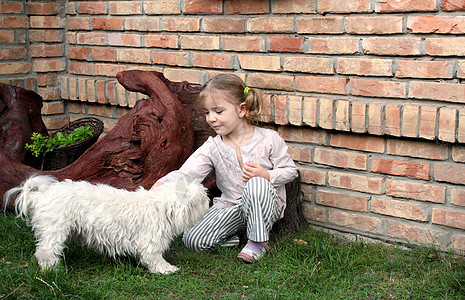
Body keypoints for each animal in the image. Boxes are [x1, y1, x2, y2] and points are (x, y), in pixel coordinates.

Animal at [3, 175, 208, 276]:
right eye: (201, 200)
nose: (208, 200)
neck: (159, 207)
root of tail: (40, 197)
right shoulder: (150, 242)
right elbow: (154, 258)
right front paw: (166, 269)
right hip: (55, 229)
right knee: (44, 251)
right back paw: (52, 269)